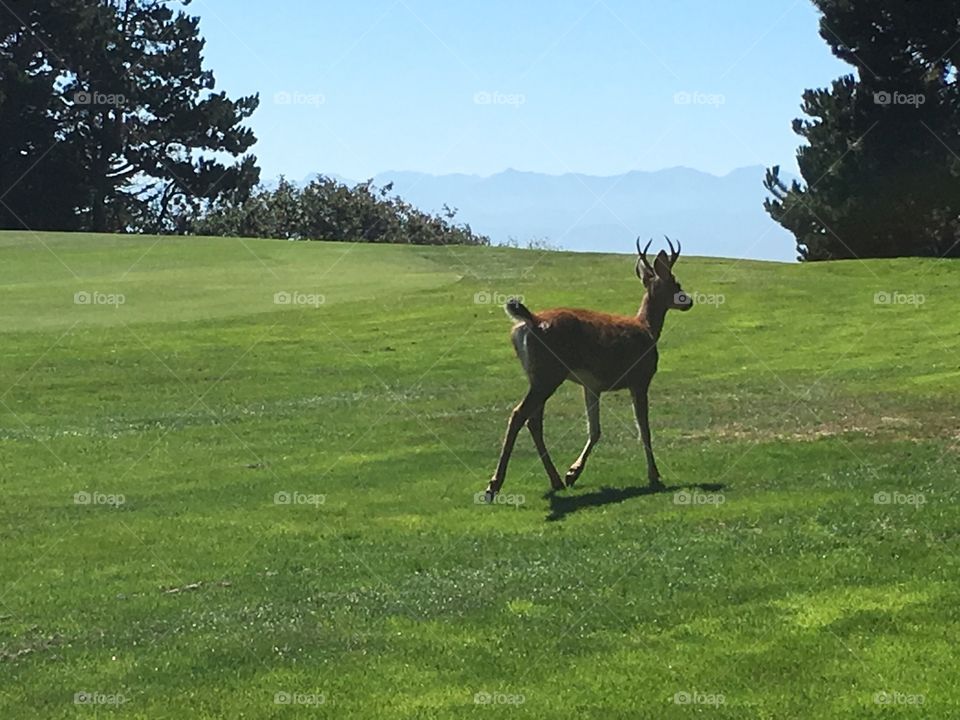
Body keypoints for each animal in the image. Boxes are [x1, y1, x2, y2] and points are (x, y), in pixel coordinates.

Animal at [484, 239, 692, 504]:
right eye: (677, 283)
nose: (688, 301)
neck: (648, 329)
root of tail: (531, 320)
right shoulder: (640, 379)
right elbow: (644, 429)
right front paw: (654, 475)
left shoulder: (591, 385)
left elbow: (595, 430)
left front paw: (572, 473)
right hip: (549, 374)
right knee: (519, 414)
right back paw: (494, 485)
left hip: (537, 375)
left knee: (533, 420)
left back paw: (556, 480)